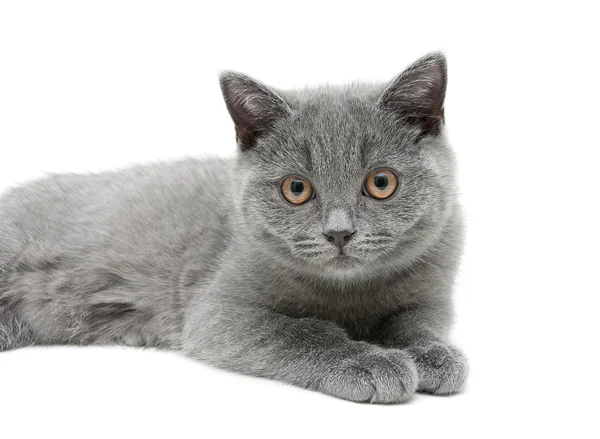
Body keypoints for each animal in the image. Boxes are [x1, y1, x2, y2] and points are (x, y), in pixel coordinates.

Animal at [0, 52, 468, 406]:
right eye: (296, 188)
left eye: (381, 182)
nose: (339, 233)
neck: (348, 295)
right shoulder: (218, 311)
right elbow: (298, 331)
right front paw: (368, 362)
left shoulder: (432, 293)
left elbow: (413, 323)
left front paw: (434, 355)